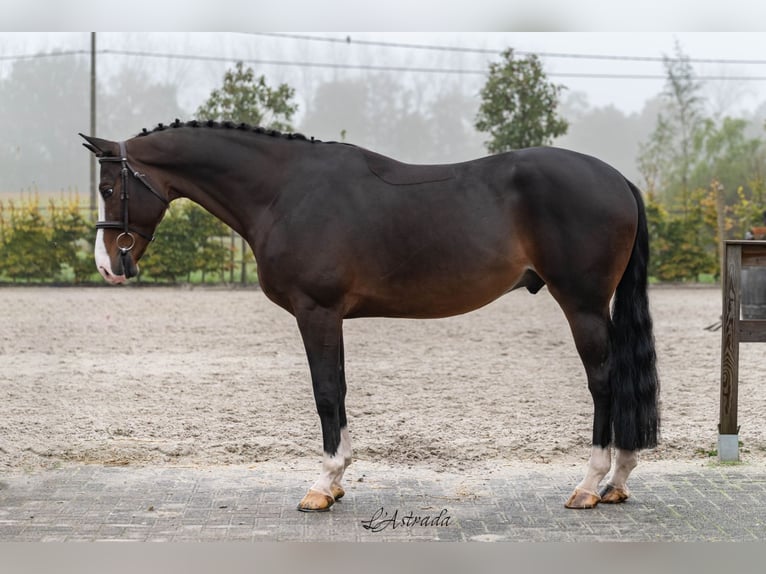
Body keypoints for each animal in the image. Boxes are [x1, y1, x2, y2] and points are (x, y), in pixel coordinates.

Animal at [81, 121, 664, 512]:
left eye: (110, 188)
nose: (108, 265)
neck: (284, 191)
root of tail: (617, 180)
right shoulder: (330, 317)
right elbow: (338, 389)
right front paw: (338, 480)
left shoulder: (315, 312)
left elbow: (324, 392)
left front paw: (322, 485)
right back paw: (616, 482)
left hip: (582, 305)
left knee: (604, 383)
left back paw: (590, 485)